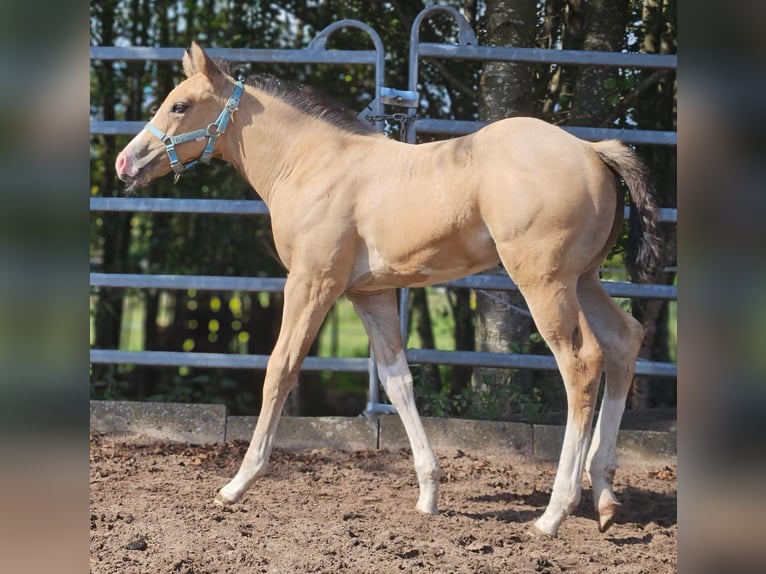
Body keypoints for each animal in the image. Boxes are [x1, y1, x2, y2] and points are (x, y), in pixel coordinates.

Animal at [115, 42, 660, 538]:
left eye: (180, 105)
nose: (125, 162)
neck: (311, 163)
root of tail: (592, 151)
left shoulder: (312, 283)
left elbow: (280, 370)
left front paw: (236, 484)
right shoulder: (369, 295)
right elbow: (398, 383)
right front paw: (428, 495)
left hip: (545, 284)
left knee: (582, 364)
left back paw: (554, 513)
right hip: (584, 280)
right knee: (623, 341)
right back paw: (605, 498)